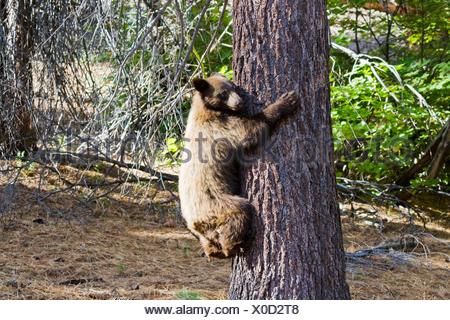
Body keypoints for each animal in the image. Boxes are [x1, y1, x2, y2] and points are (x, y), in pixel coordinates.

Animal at [178, 72, 298, 258]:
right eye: (222, 94)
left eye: (233, 87)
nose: (239, 102)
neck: (209, 110)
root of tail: (194, 222)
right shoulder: (221, 128)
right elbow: (249, 130)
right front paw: (286, 101)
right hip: (218, 203)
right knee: (240, 212)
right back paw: (237, 245)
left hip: (206, 227)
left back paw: (214, 251)